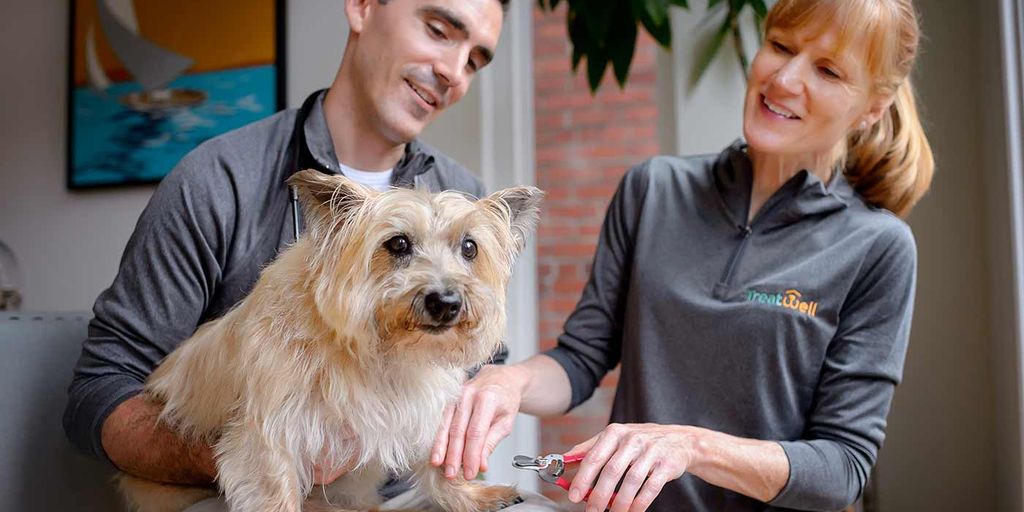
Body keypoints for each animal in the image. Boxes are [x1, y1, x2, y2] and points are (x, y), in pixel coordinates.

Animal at [119, 169, 544, 509]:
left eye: (470, 247)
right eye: (398, 244)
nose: (446, 302)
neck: (380, 353)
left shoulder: (423, 416)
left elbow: (438, 464)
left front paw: (470, 495)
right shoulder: (268, 442)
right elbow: (275, 493)